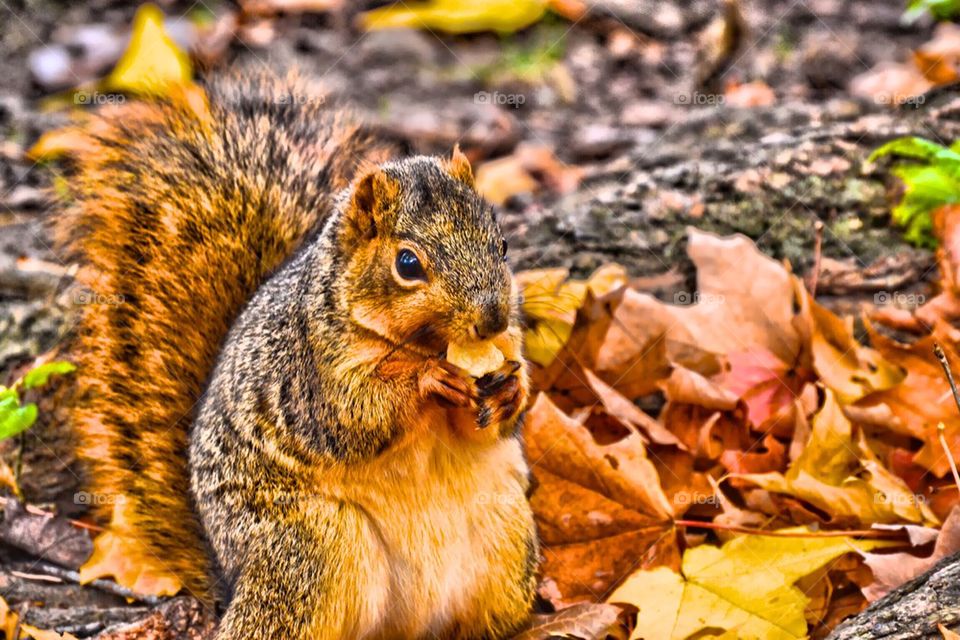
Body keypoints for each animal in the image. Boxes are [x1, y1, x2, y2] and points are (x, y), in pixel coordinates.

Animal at [54, 71, 538, 638]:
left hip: (505, 538)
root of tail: (230, 577)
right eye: (407, 264)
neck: (421, 342)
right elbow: (348, 417)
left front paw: (510, 390)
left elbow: (490, 425)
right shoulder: (307, 370)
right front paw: (428, 380)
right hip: (307, 550)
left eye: (502, 244)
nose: (493, 320)